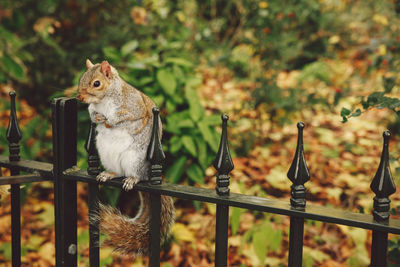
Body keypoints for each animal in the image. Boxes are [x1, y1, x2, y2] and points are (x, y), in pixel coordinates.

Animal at [76, 59, 173, 256]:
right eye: (82, 78)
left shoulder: (133, 105)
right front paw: (98, 118)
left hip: (135, 159)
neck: (103, 101)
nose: (79, 98)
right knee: (118, 172)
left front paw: (110, 121)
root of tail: (147, 174)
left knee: (134, 174)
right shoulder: (92, 108)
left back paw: (132, 179)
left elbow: (127, 116)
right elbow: (92, 114)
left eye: (96, 83)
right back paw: (109, 174)